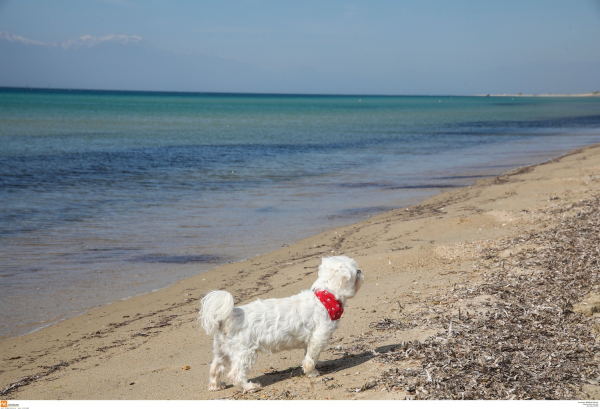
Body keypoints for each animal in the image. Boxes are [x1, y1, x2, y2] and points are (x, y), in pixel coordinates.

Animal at [199, 255, 364, 392]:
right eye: (355, 272)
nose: (360, 270)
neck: (325, 297)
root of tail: (227, 317)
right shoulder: (319, 337)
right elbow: (311, 358)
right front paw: (312, 372)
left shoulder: (310, 340)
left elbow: (309, 354)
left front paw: (318, 363)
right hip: (244, 352)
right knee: (235, 373)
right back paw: (249, 387)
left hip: (222, 351)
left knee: (215, 368)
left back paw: (215, 386)